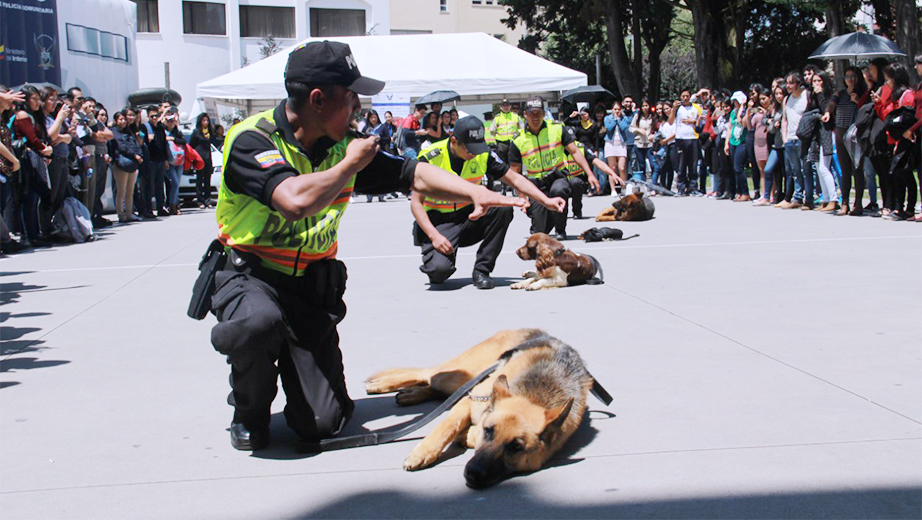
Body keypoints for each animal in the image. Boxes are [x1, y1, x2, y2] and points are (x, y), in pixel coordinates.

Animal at [362, 330, 592, 488]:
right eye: (489, 431)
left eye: (516, 447)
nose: (474, 473)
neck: (533, 394)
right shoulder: (469, 400)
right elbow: (446, 427)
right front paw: (423, 452)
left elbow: (466, 432)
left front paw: (466, 435)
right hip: (458, 376)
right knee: (428, 374)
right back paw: (382, 384)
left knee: (436, 388)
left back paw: (411, 394)